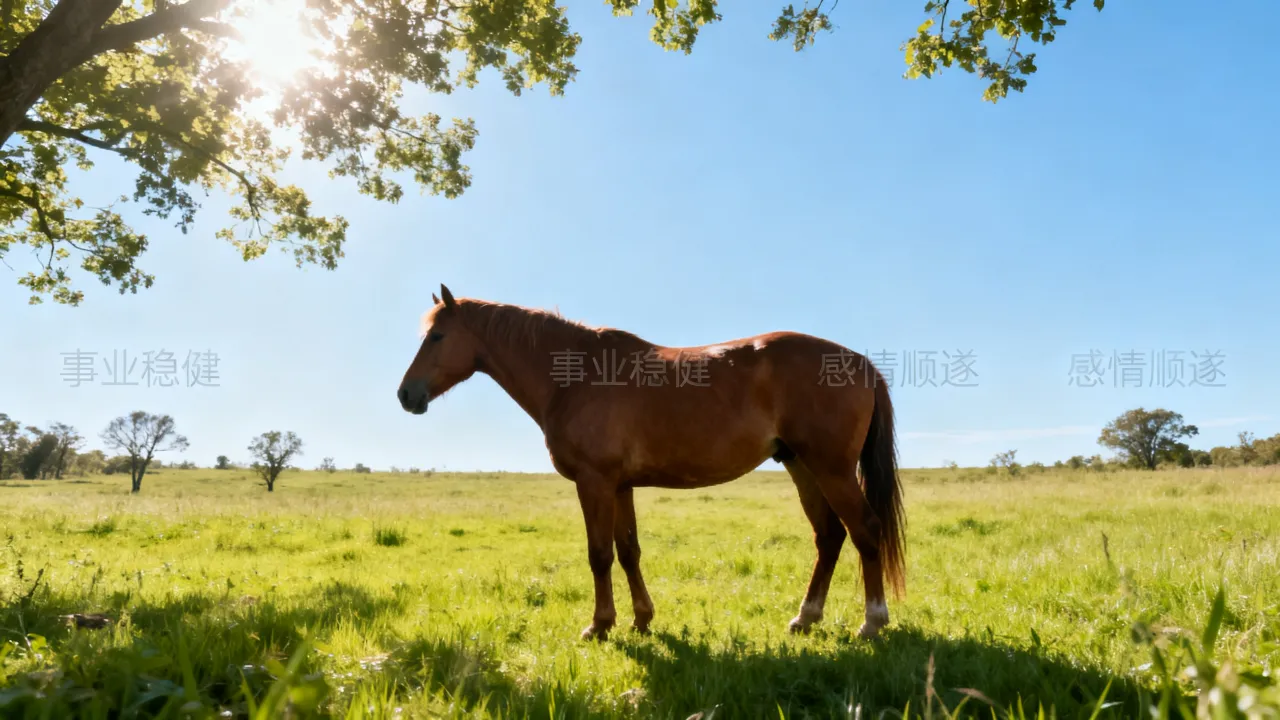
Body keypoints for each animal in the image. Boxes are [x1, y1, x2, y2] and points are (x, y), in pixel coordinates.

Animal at [397, 285, 906, 641]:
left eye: (437, 335)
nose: (406, 395)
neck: (577, 375)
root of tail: (862, 364)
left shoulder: (595, 482)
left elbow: (599, 554)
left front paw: (600, 625)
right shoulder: (621, 486)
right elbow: (628, 551)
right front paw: (641, 620)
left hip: (832, 470)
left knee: (865, 531)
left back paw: (871, 622)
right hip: (801, 466)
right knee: (830, 536)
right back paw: (806, 618)